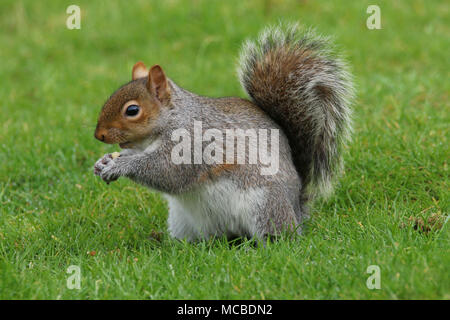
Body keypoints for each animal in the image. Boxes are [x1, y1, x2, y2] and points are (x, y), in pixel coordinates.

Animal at [94, 24, 356, 240]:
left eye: (132, 110)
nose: (99, 135)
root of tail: (297, 208)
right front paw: (103, 162)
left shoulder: (192, 143)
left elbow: (167, 172)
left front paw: (120, 165)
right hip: (182, 220)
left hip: (265, 205)